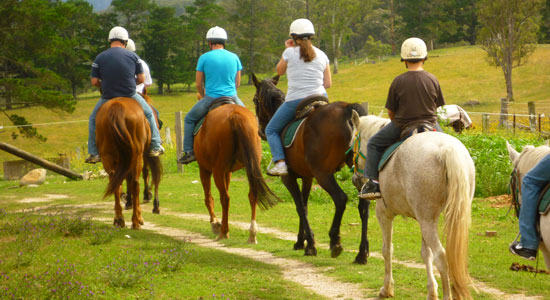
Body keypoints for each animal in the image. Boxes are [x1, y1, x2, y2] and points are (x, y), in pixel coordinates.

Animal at [96, 94, 162, 230]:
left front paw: (129, 202)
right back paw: (136, 221)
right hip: (137, 155)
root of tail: (117, 106)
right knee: (135, 182)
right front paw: (152, 202)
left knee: (115, 183)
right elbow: (151, 174)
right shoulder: (146, 155)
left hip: (109, 157)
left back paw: (119, 219)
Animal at [193, 99, 280, 243]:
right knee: (252, 194)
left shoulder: (204, 169)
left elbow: (208, 197)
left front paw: (215, 223)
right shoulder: (227, 172)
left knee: (225, 198)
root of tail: (235, 115)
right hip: (251, 166)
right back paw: (252, 234)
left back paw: (223, 232)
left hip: (217, 170)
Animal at [253, 73, 366, 258]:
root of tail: (346, 109)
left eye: (255, 100)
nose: (260, 132)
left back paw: (335, 240)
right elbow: (305, 206)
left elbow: (300, 207)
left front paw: (310, 244)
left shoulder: (288, 178)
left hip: (323, 174)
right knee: (364, 204)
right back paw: (362, 253)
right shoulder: (307, 177)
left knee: (340, 198)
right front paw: (302, 242)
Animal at [354, 115, 478, 300]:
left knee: (441, 256)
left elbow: (387, 250)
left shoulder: (384, 214)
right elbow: (425, 253)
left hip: (426, 221)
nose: (355, 179)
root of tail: (446, 150)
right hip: (438, 219)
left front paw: (386, 288)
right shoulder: (423, 219)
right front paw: (432, 291)